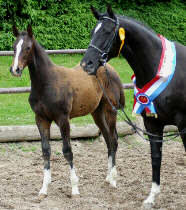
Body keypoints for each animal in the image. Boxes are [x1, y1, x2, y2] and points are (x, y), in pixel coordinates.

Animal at [81, 5, 186, 208]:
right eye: (92, 32)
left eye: (107, 32)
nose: (86, 64)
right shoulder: (153, 125)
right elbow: (156, 158)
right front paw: (151, 198)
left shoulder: (184, 124)